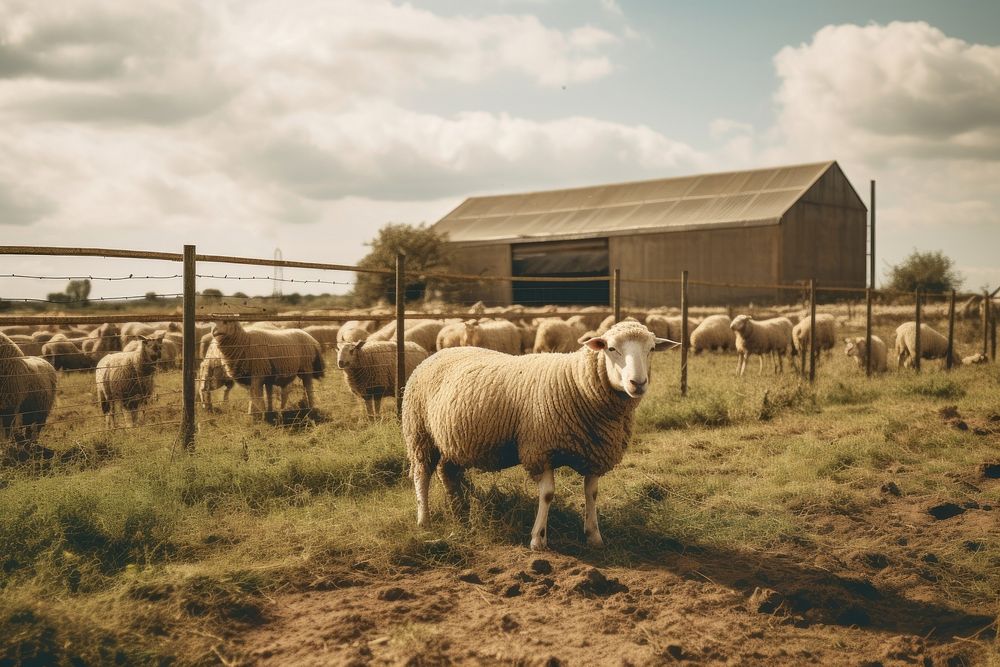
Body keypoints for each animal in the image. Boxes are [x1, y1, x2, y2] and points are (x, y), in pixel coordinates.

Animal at [404, 322, 680, 548]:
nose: (638, 383)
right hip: (419, 433)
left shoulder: (594, 450)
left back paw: (461, 515)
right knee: (422, 475)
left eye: (651, 349)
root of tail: (438, 352)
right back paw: (424, 520)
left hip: (452, 441)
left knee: (448, 473)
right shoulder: (539, 448)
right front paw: (538, 539)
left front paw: (594, 535)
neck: (576, 383)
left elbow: (591, 494)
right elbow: (547, 494)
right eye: (611, 349)